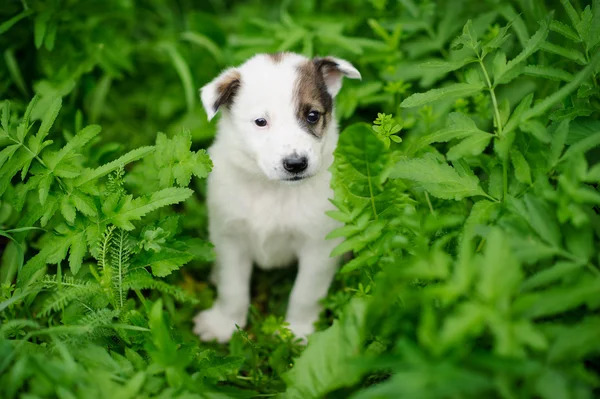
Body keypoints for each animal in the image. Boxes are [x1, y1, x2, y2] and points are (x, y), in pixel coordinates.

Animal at [195, 50, 358, 344]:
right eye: (261, 122)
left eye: (313, 115)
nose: (296, 164)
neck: (273, 189)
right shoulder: (229, 237)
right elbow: (232, 287)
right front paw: (224, 324)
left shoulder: (319, 245)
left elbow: (306, 293)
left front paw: (297, 331)